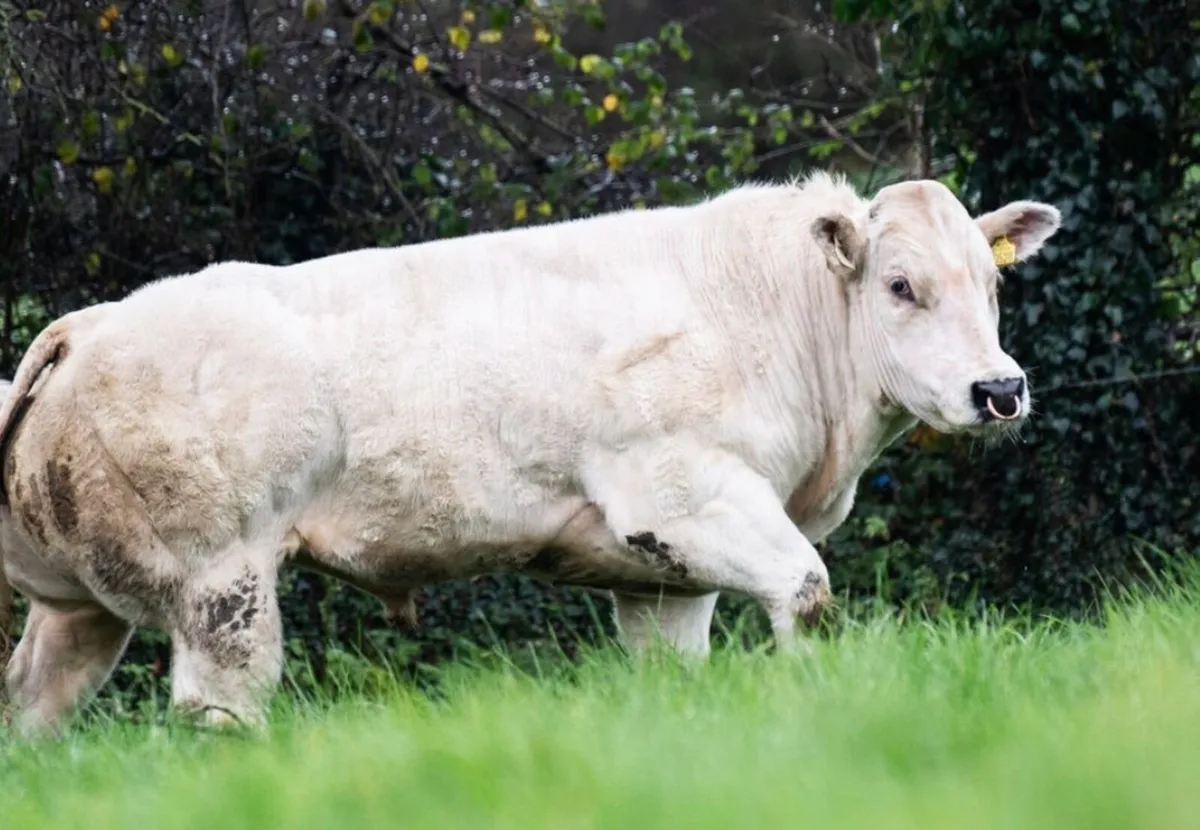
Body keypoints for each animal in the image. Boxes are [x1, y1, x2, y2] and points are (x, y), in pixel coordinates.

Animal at [0, 172, 1060, 735]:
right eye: (900, 285)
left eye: (991, 284)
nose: (999, 389)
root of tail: (92, 323)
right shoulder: (686, 492)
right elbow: (807, 593)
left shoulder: (663, 577)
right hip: (221, 587)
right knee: (219, 712)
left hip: (78, 609)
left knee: (31, 707)